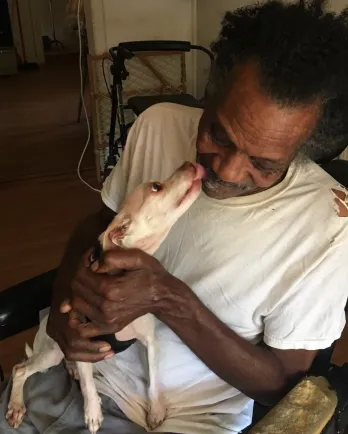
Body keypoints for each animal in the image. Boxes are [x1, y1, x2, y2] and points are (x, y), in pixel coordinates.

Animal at [5, 162, 205, 434]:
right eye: (156, 187)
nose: (190, 164)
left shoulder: (150, 341)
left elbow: (154, 377)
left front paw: (155, 409)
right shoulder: (79, 340)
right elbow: (89, 386)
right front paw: (93, 413)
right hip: (52, 352)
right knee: (20, 369)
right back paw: (16, 405)